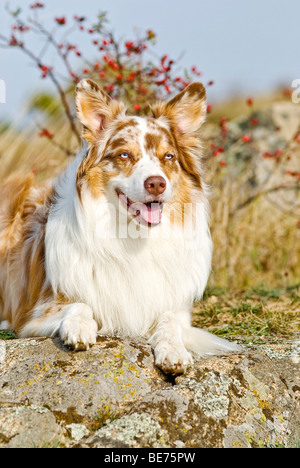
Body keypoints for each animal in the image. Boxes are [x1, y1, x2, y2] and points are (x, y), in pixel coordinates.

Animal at [0, 79, 239, 372]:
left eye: (168, 157)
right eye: (125, 155)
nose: (157, 183)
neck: (133, 236)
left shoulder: (175, 307)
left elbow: (170, 320)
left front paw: (174, 349)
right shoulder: (34, 313)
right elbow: (80, 305)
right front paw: (80, 327)